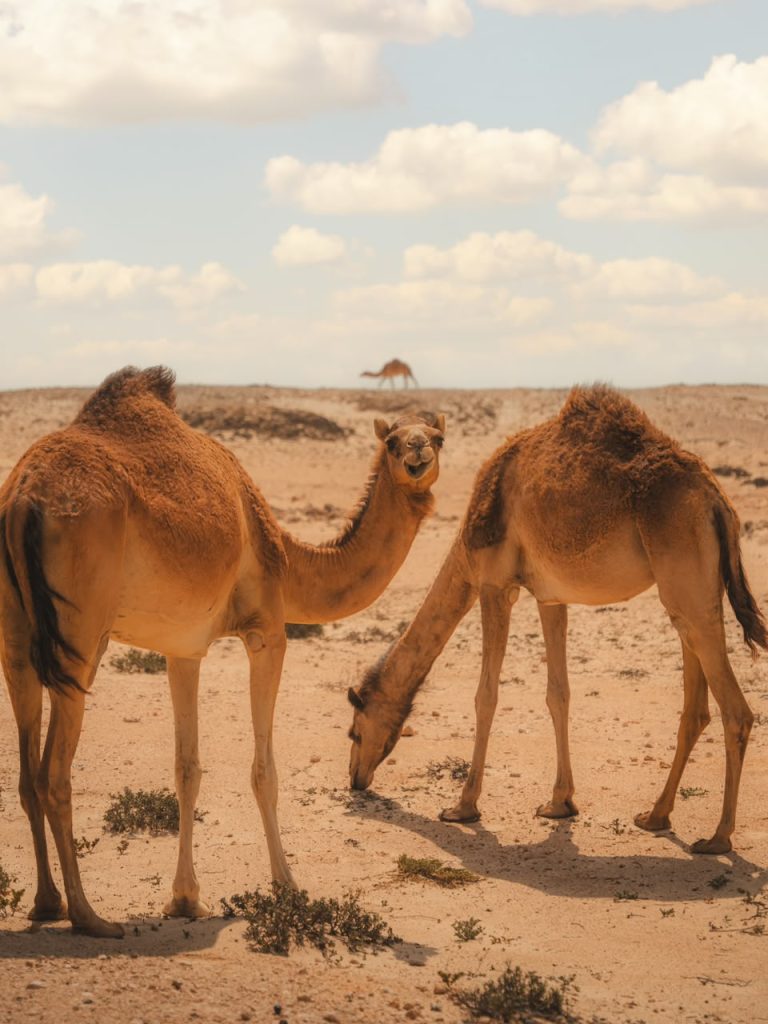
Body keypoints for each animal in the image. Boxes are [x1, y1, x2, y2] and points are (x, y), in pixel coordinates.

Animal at [0, 365, 445, 938]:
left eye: (435, 437)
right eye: (392, 442)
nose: (417, 457)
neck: (285, 555)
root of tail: (23, 497)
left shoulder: (183, 649)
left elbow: (186, 769)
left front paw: (185, 898)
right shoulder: (267, 631)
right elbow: (264, 772)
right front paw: (287, 884)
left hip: (18, 635)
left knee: (27, 771)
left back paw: (46, 903)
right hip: (81, 635)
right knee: (54, 773)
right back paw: (88, 915)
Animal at [348, 385, 766, 856]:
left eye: (355, 730)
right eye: (392, 442)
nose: (355, 778)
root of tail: (717, 499)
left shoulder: (494, 585)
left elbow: (486, 696)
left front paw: (463, 806)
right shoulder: (551, 598)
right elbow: (558, 694)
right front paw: (560, 803)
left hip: (686, 580)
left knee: (738, 712)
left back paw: (718, 837)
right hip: (689, 595)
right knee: (695, 706)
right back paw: (655, 816)